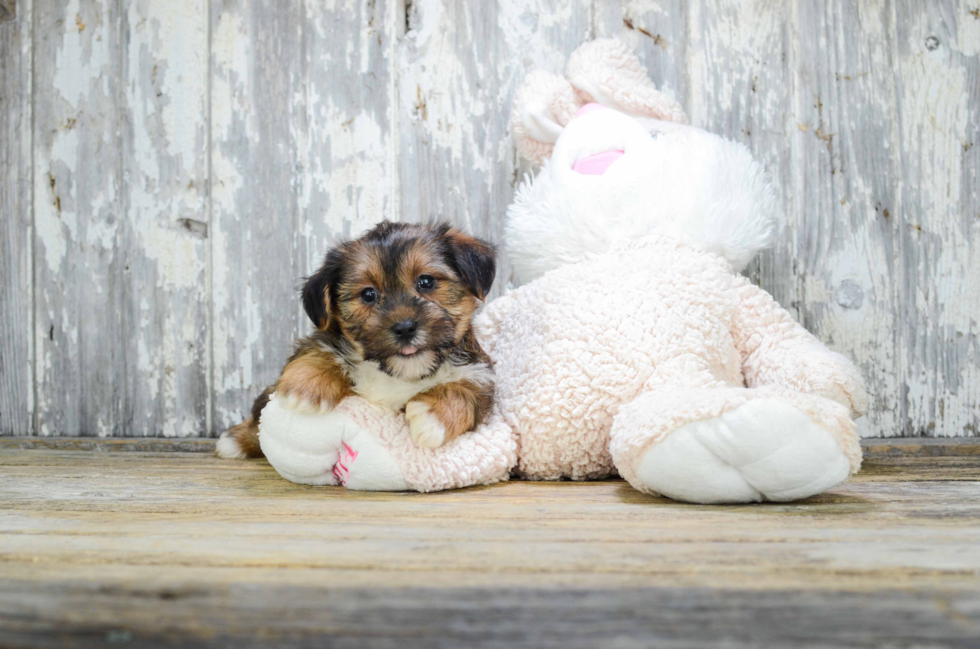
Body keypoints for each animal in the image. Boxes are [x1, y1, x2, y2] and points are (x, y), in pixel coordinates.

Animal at [216, 223, 498, 460]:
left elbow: (466, 389)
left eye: (426, 281)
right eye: (368, 294)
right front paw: (305, 388)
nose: (404, 328)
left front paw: (432, 418)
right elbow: (321, 349)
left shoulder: (480, 371)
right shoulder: (325, 339)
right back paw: (236, 439)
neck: (401, 374)